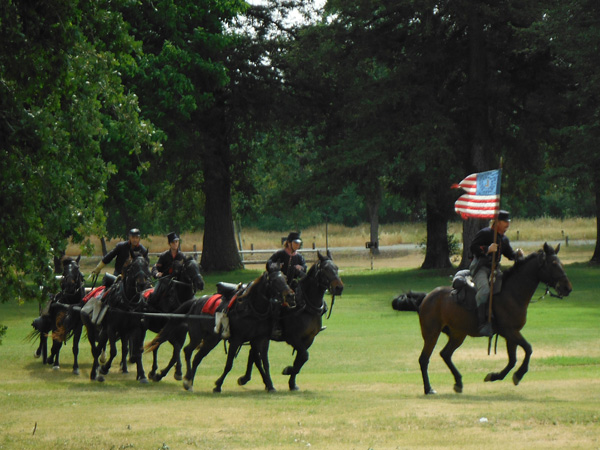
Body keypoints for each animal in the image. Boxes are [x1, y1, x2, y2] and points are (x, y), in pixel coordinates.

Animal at [145, 262, 296, 392]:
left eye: (285, 278)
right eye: (274, 280)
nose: (290, 296)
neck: (251, 308)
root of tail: (196, 301)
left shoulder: (262, 340)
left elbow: (265, 363)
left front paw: (270, 385)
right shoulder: (236, 340)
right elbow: (229, 364)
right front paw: (218, 385)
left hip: (212, 339)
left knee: (197, 356)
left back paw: (189, 379)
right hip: (197, 335)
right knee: (188, 351)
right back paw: (187, 379)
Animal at [238, 251, 344, 392]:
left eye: (337, 268)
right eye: (325, 269)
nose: (339, 288)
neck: (306, 306)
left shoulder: (309, 339)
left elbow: (300, 358)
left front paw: (292, 383)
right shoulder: (293, 338)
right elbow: (304, 356)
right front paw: (288, 370)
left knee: (253, 354)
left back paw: (247, 378)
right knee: (255, 355)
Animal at [394, 244, 572, 396]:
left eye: (561, 263)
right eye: (553, 264)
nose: (567, 288)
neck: (512, 293)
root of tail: (426, 297)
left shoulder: (512, 334)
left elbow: (513, 360)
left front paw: (495, 376)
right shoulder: (510, 332)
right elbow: (528, 349)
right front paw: (518, 375)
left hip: (458, 334)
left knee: (445, 354)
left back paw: (458, 382)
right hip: (431, 334)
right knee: (424, 359)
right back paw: (429, 388)